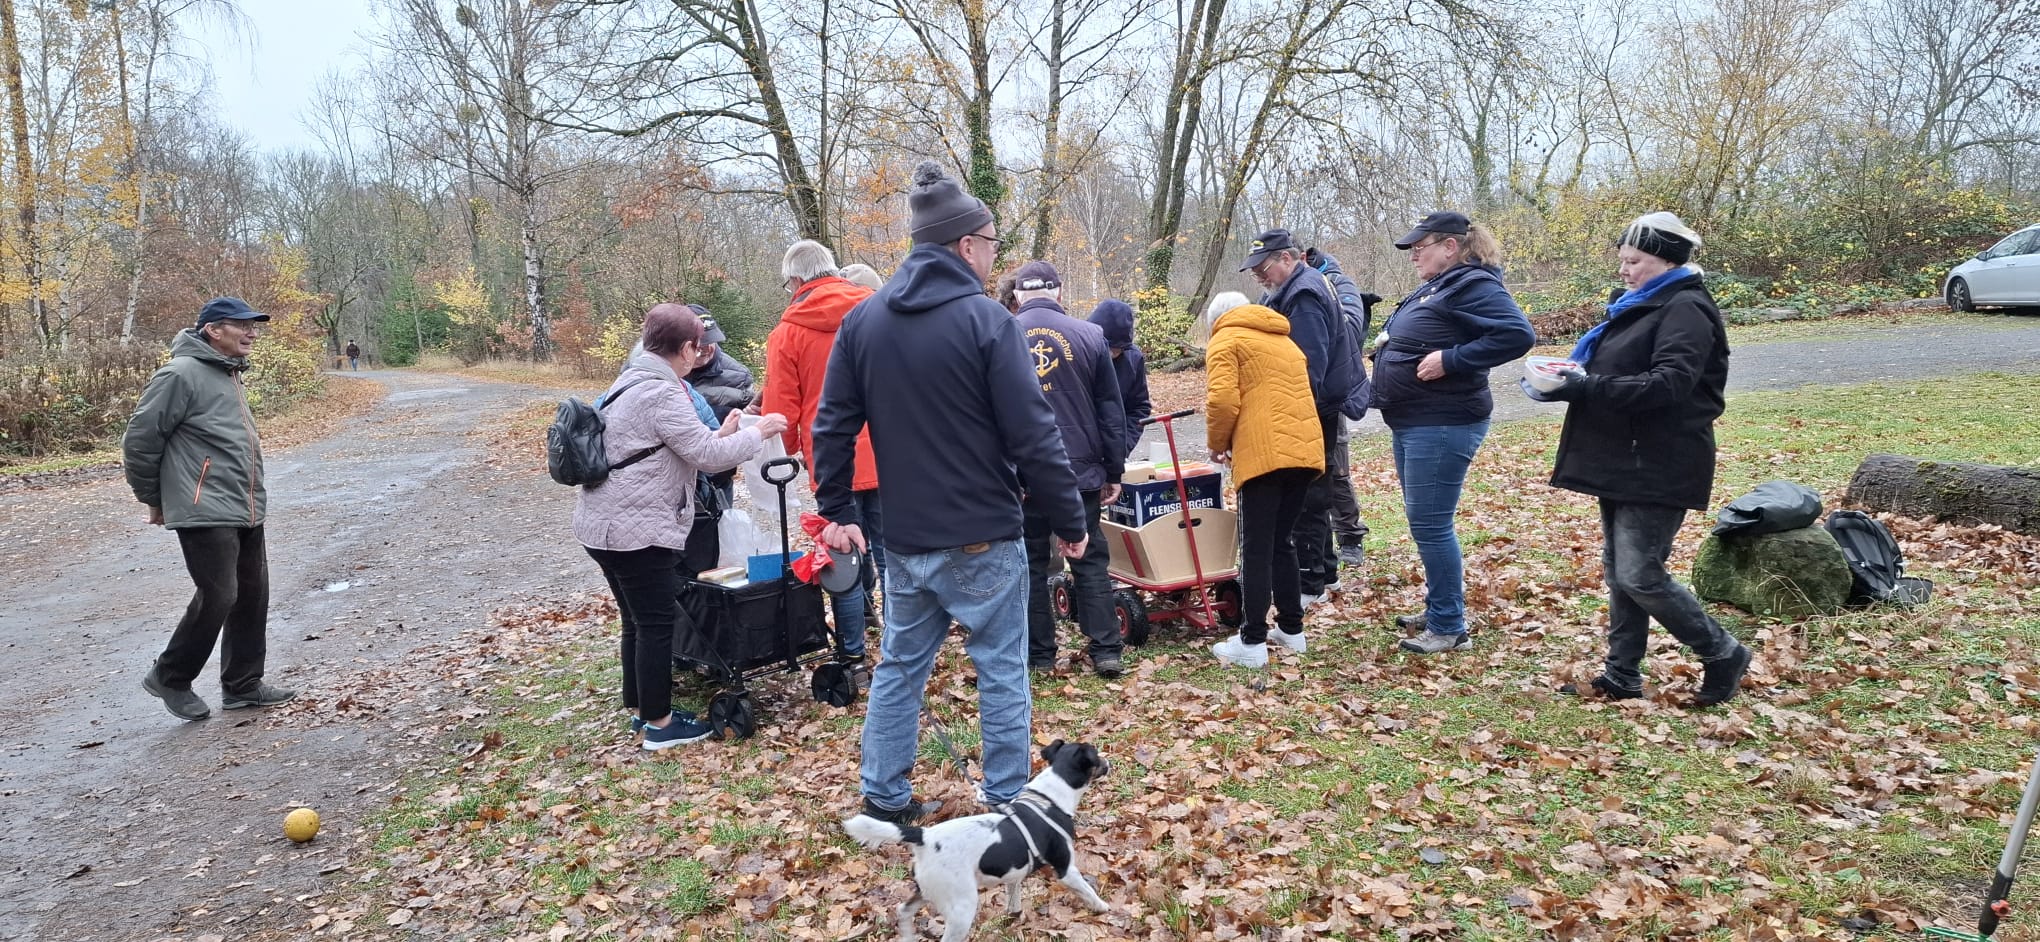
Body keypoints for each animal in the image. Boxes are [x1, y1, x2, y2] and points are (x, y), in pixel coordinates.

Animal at [844, 740, 1113, 941]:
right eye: (1097, 757)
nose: (1109, 762)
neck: (1050, 798)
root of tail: (924, 836)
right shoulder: (1066, 869)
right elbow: (1087, 890)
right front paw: (1102, 908)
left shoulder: (1014, 874)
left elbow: (1013, 899)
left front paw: (1013, 918)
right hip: (961, 907)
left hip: (926, 890)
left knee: (902, 911)